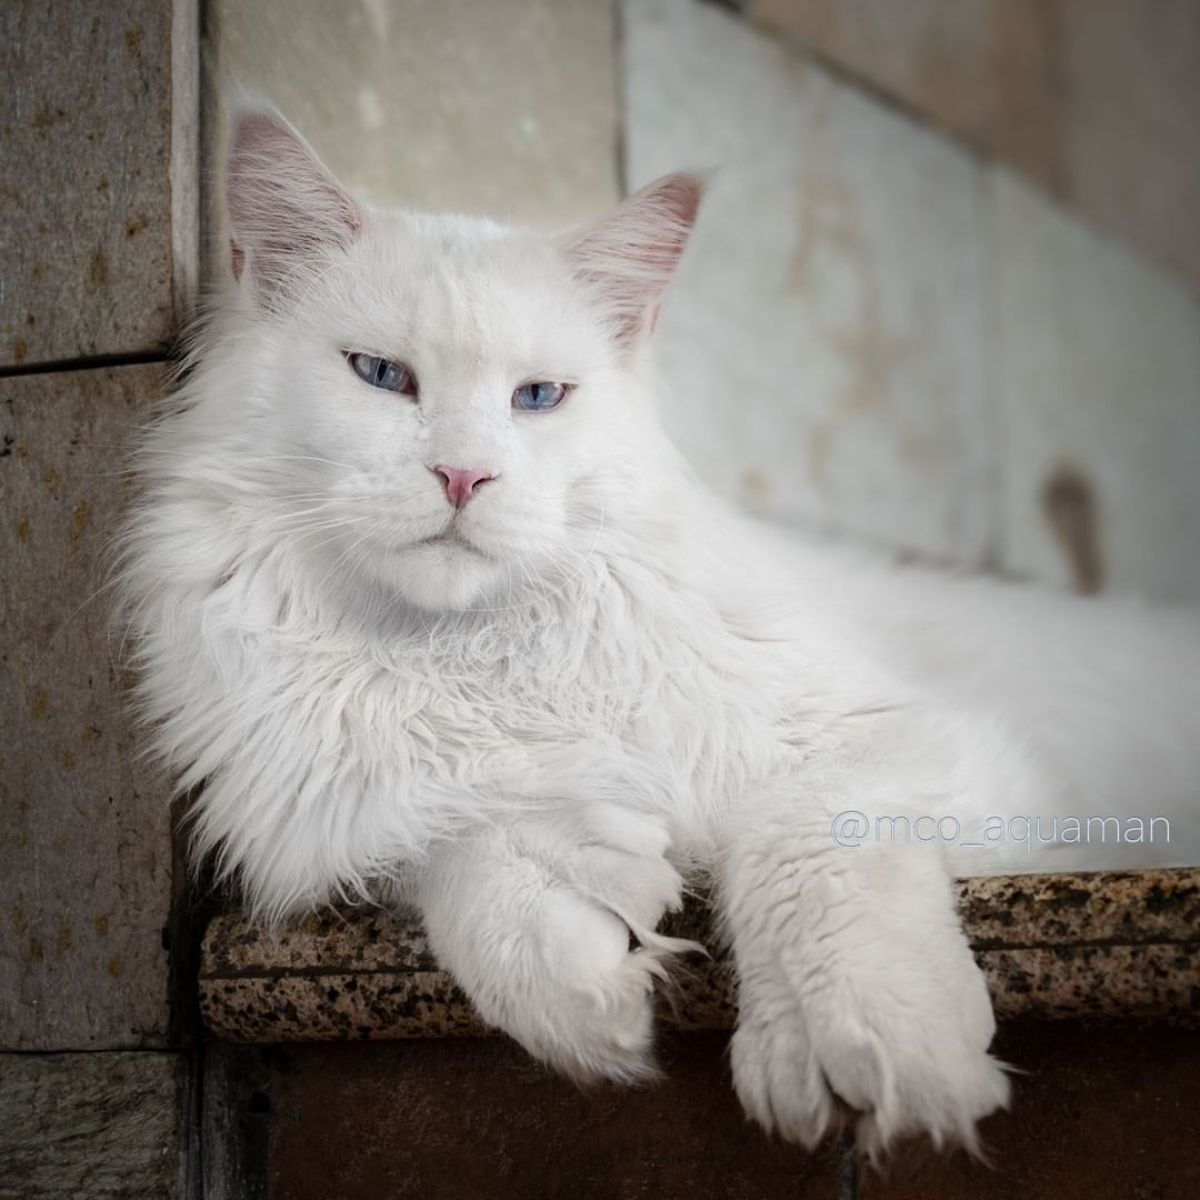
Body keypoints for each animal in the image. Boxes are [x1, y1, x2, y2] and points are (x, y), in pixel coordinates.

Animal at [119, 110, 1200, 1152]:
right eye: (382, 375)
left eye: (539, 398)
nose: (464, 477)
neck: (474, 652)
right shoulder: (377, 807)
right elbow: (471, 848)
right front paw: (574, 979)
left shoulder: (909, 746)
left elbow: (804, 841)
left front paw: (845, 1044)